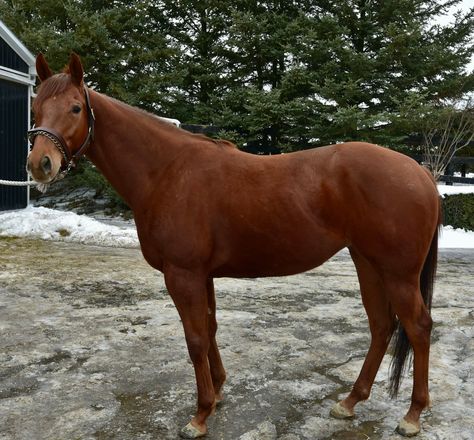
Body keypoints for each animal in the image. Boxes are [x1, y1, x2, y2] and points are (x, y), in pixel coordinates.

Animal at [25, 54, 440, 436]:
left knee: (418, 327)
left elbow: (194, 339)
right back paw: (350, 401)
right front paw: (220, 392)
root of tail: (420, 171)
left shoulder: (183, 274)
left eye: (76, 108)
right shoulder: (202, 275)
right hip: (367, 262)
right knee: (381, 326)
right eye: (36, 107)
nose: (40, 164)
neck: (167, 171)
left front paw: (199, 415)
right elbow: (210, 329)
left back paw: (412, 415)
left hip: (398, 273)